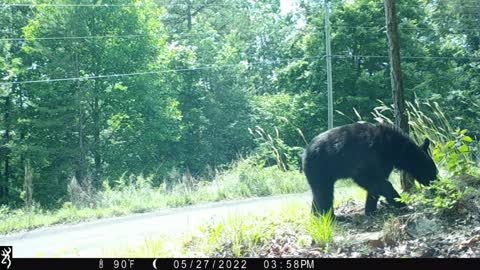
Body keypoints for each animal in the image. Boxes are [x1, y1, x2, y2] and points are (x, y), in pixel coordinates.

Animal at [304, 122, 438, 215]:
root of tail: (306, 151)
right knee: (324, 192)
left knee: (319, 193)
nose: (436, 184)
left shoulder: (384, 163)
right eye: (432, 172)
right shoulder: (366, 158)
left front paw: (370, 209)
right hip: (320, 167)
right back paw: (327, 216)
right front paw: (401, 203)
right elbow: (371, 179)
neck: (393, 148)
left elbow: (375, 185)